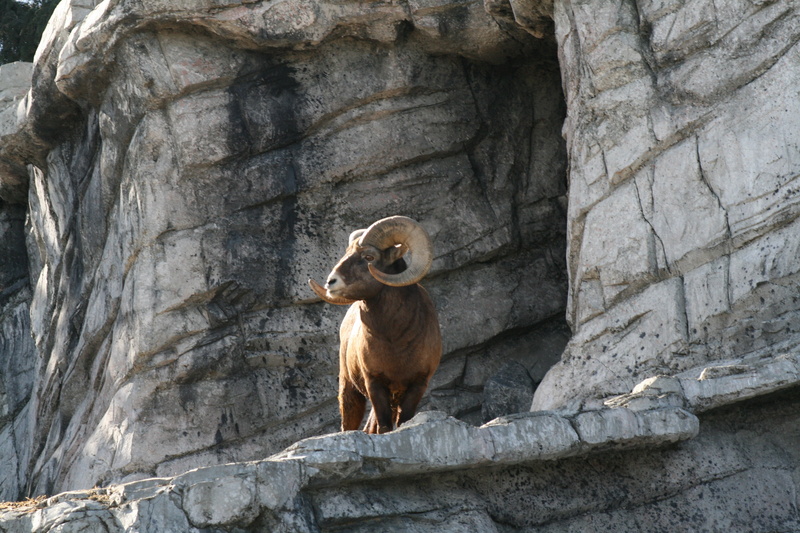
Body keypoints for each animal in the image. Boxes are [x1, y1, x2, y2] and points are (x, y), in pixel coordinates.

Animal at [309, 216, 442, 434]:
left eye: (369, 257)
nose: (331, 282)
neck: (395, 342)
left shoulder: (417, 385)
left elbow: (403, 421)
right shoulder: (374, 384)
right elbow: (384, 427)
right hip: (349, 391)